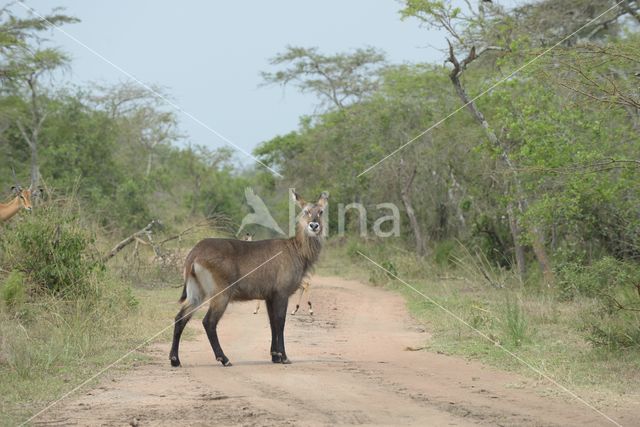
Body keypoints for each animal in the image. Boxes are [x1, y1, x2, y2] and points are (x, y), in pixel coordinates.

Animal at [169, 191, 328, 368]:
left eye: (321, 212)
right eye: (306, 211)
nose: (314, 225)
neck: (296, 249)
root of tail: (195, 252)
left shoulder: (269, 296)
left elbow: (272, 323)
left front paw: (275, 356)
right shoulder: (281, 293)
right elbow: (280, 322)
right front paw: (284, 357)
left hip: (196, 293)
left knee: (180, 318)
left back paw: (175, 360)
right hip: (221, 294)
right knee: (208, 322)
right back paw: (224, 359)